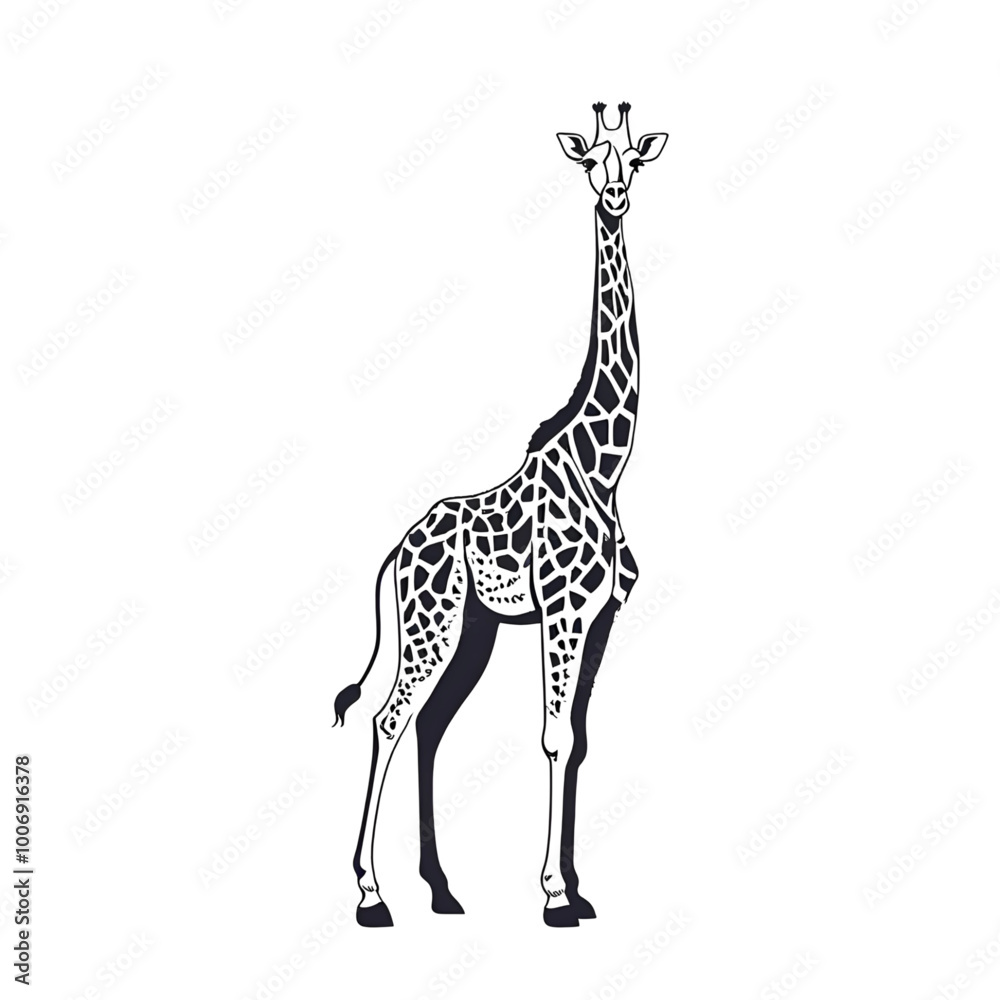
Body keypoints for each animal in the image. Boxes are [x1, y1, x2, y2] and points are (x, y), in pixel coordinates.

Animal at [334, 101, 668, 928]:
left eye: (634, 161)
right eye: (591, 161)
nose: (615, 198)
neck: (605, 465)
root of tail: (396, 551)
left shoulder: (601, 614)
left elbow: (579, 738)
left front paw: (578, 889)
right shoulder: (564, 610)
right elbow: (553, 737)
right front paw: (553, 897)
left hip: (471, 627)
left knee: (428, 723)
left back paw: (442, 890)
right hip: (433, 623)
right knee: (390, 717)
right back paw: (371, 895)